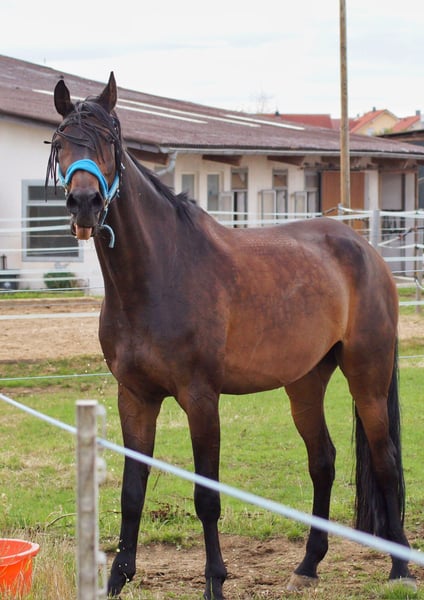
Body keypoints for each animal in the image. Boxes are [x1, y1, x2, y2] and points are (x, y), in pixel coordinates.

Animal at [46, 73, 414, 598]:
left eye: (109, 139)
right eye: (60, 142)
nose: (85, 203)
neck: (159, 272)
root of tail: (366, 251)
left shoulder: (201, 398)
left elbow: (207, 496)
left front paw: (215, 581)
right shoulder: (134, 397)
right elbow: (132, 489)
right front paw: (117, 579)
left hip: (367, 377)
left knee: (384, 460)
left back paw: (400, 568)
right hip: (305, 382)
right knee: (322, 460)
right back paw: (308, 565)